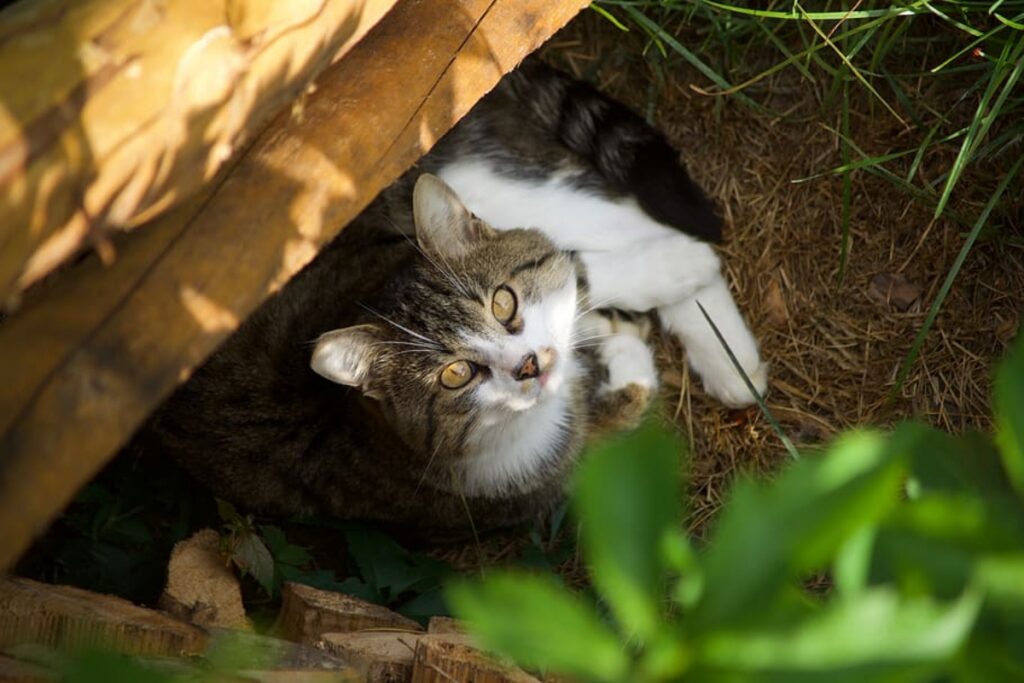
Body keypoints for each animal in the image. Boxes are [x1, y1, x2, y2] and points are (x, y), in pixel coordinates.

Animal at [136, 57, 765, 540]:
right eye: (456, 375)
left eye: (504, 304)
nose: (529, 364)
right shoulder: (553, 472)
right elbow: (622, 391)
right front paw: (617, 343)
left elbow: (571, 267)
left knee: (619, 223)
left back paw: (719, 332)